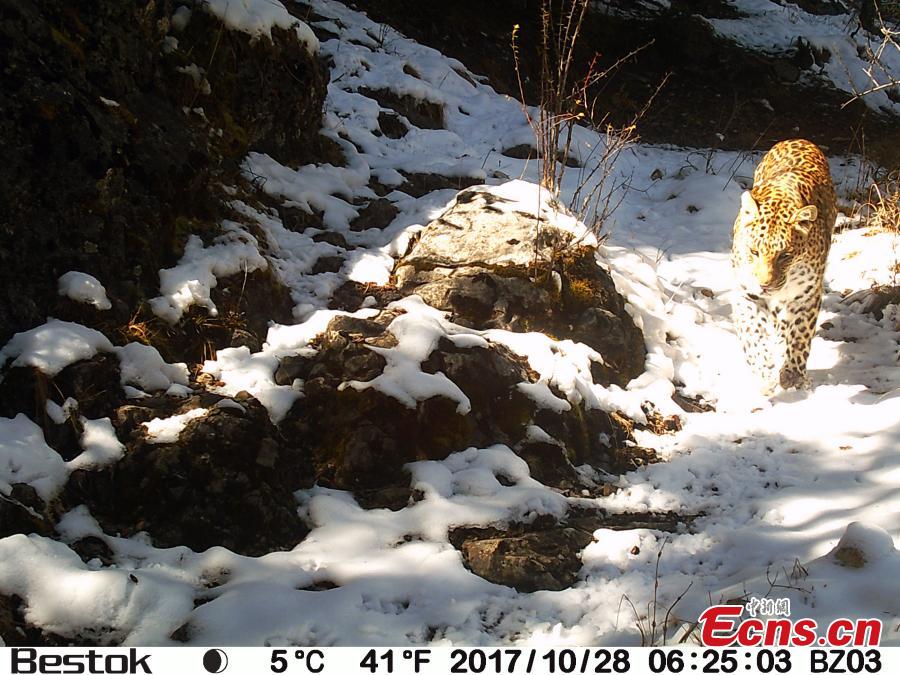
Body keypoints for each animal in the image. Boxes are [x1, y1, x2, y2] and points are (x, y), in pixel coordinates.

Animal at [730, 139, 837, 394]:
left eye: (785, 256)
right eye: (754, 252)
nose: (764, 285)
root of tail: (798, 139)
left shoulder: (807, 296)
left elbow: (800, 335)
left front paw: (793, 375)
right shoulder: (745, 294)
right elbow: (753, 333)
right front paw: (763, 370)